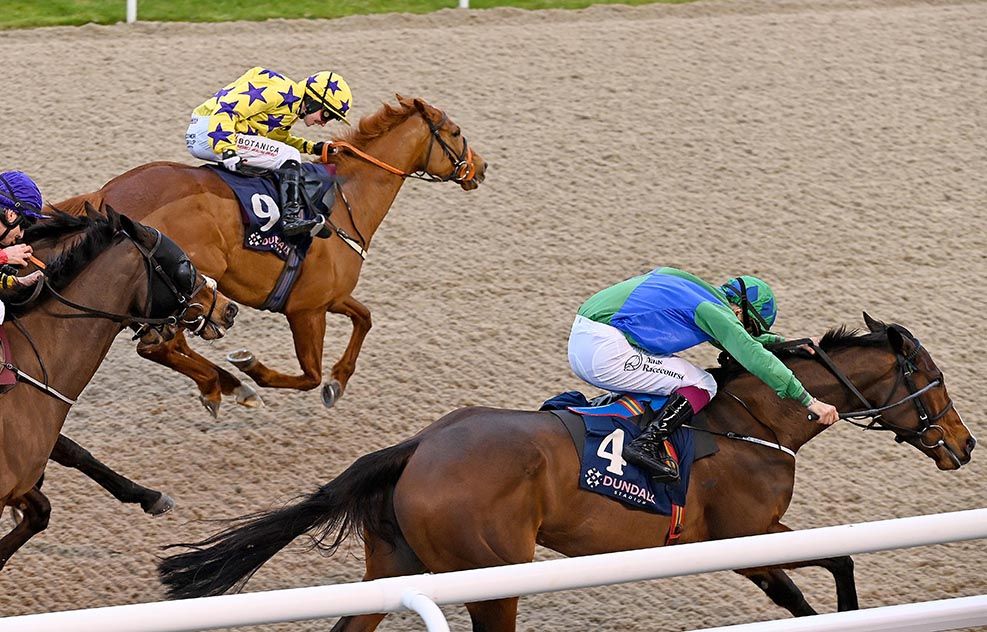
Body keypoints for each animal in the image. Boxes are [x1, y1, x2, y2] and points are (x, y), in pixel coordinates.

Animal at [54, 94, 486, 418]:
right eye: (455, 132)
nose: (480, 168)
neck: (344, 201)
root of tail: (106, 195)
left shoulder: (329, 296)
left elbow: (364, 318)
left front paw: (339, 380)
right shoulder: (306, 310)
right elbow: (310, 374)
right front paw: (253, 368)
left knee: (167, 346)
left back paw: (225, 385)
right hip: (182, 289)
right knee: (159, 346)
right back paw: (229, 385)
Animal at [162, 316, 972, 628]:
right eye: (935, 382)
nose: (963, 446)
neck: (757, 425)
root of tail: (420, 447)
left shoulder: (748, 539)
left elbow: (819, 578)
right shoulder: (744, 535)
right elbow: (832, 566)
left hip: (394, 564)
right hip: (492, 572)